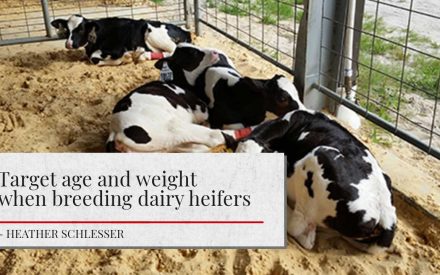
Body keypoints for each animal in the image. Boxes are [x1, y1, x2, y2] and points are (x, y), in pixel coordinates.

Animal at [50, 14, 191, 66]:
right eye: (67, 30)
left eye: (80, 29)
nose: (68, 44)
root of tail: (185, 30)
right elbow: (94, 59)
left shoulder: (117, 48)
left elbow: (96, 59)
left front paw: (126, 57)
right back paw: (143, 55)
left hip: (151, 32)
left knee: (173, 50)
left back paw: (140, 55)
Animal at [107, 81, 235, 153]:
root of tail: (115, 130)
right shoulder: (199, 108)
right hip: (173, 127)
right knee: (213, 136)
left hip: (166, 146)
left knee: (197, 148)